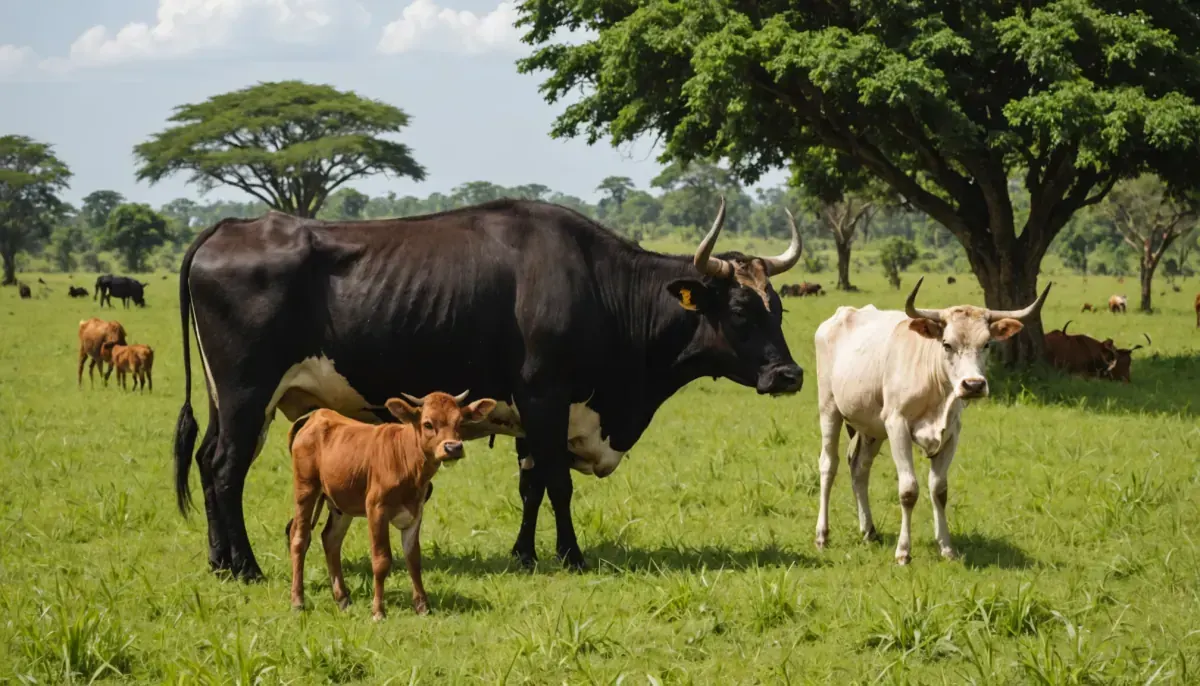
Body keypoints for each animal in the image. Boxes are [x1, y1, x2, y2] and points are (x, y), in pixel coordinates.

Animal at [173, 198, 806, 581]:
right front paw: (571, 555)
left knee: (206, 462)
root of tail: (229, 227)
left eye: (778, 308)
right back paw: (246, 567)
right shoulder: (548, 398)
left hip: (234, 402)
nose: (789, 375)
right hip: (247, 395)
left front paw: (524, 554)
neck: (598, 285)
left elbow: (530, 486)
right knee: (225, 470)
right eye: (742, 311)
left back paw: (218, 561)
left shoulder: (531, 413)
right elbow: (557, 485)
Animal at [286, 390, 498, 619]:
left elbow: (413, 558)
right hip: (306, 489)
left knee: (331, 540)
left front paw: (423, 607)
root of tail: (316, 415)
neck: (406, 460)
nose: (453, 448)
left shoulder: (416, 512)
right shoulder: (376, 509)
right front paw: (378, 611)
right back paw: (298, 601)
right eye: (428, 423)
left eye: (460, 422)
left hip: (340, 503)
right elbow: (381, 561)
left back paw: (342, 599)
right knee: (299, 538)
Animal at [813, 277, 1051, 565]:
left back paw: (868, 530)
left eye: (986, 344)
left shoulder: (951, 434)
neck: (936, 388)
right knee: (828, 465)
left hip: (871, 429)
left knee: (860, 468)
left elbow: (939, 489)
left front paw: (946, 547)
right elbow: (908, 490)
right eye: (947, 344)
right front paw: (903, 551)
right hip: (829, 409)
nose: (973, 385)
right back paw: (822, 535)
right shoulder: (897, 426)